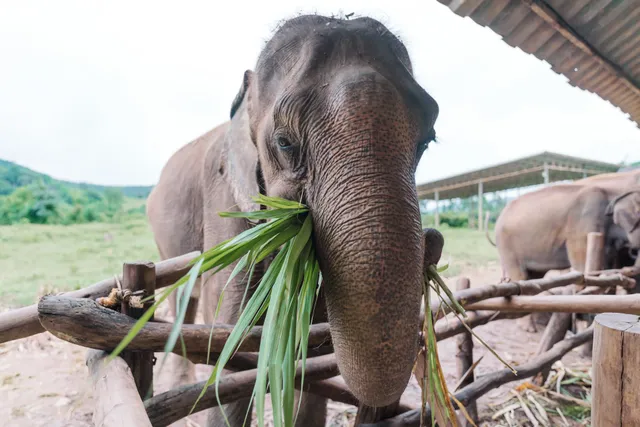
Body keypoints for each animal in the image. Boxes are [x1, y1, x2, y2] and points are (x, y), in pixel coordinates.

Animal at [146, 14, 444, 427]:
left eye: (427, 142)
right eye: (285, 142)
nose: (433, 240)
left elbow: (313, 350)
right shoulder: (224, 200)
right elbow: (234, 343)